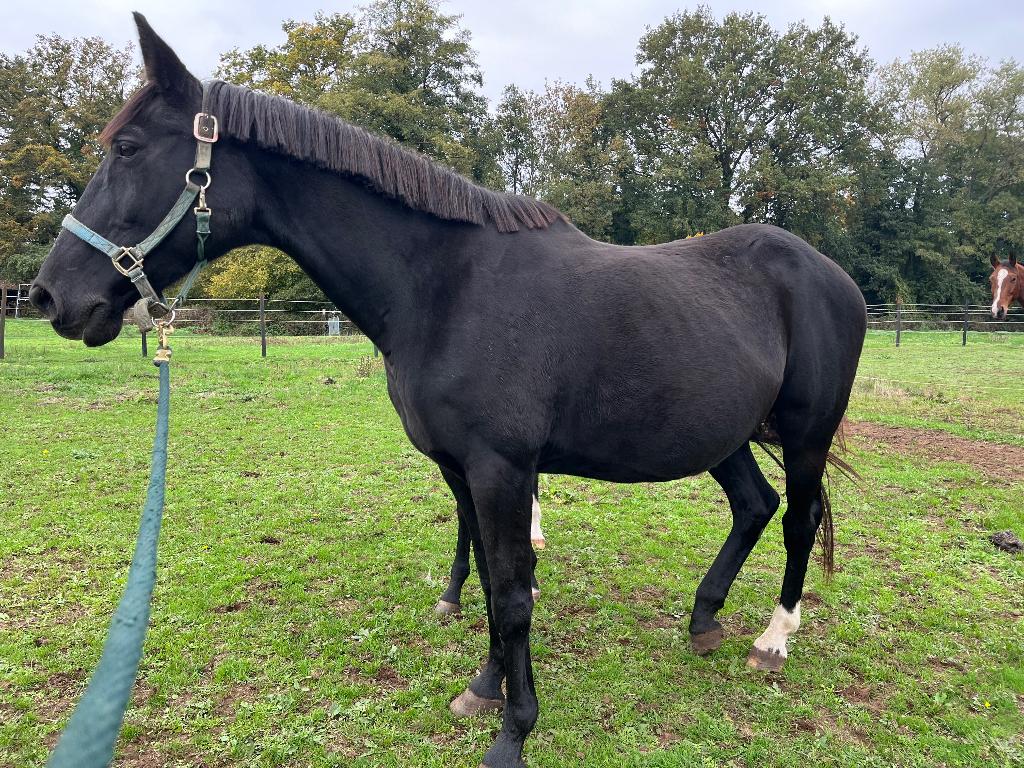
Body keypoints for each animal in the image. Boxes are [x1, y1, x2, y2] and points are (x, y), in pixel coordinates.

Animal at [30, 16, 867, 767]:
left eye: (129, 149)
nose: (50, 296)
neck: (444, 285)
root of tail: (829, 274)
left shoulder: (503, 470)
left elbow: (515, 594)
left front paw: (514, 733)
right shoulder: (463, 470)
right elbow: (493, 589)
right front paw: (485, 688)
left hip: (805, 433)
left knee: (797, 519)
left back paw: (772, 641)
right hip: (722, 433)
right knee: (754, 505)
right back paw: (703, 620)